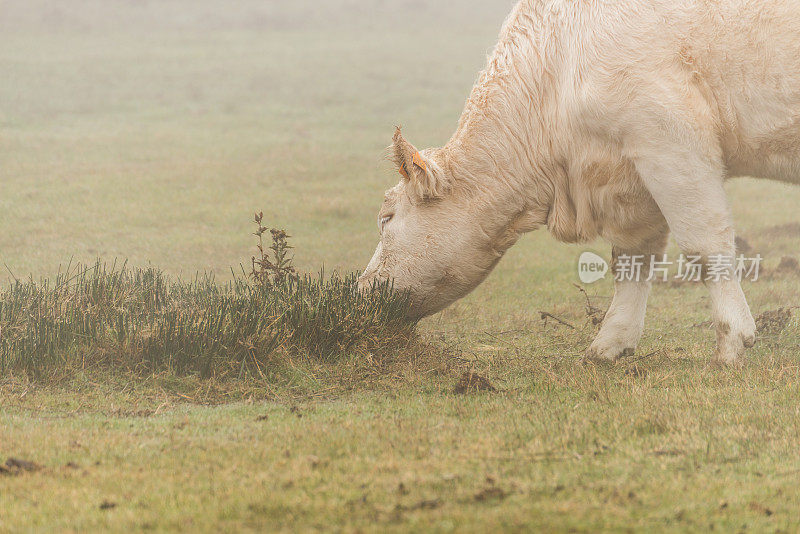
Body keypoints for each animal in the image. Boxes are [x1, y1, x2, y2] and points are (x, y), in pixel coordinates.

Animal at [360, 0, 800, 364]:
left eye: (386, 218)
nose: (360, 290)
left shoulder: (671, 141)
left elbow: (705, 246)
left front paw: (731, 340)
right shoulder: (632, 176)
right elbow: (632, 259)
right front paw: (611, 342)